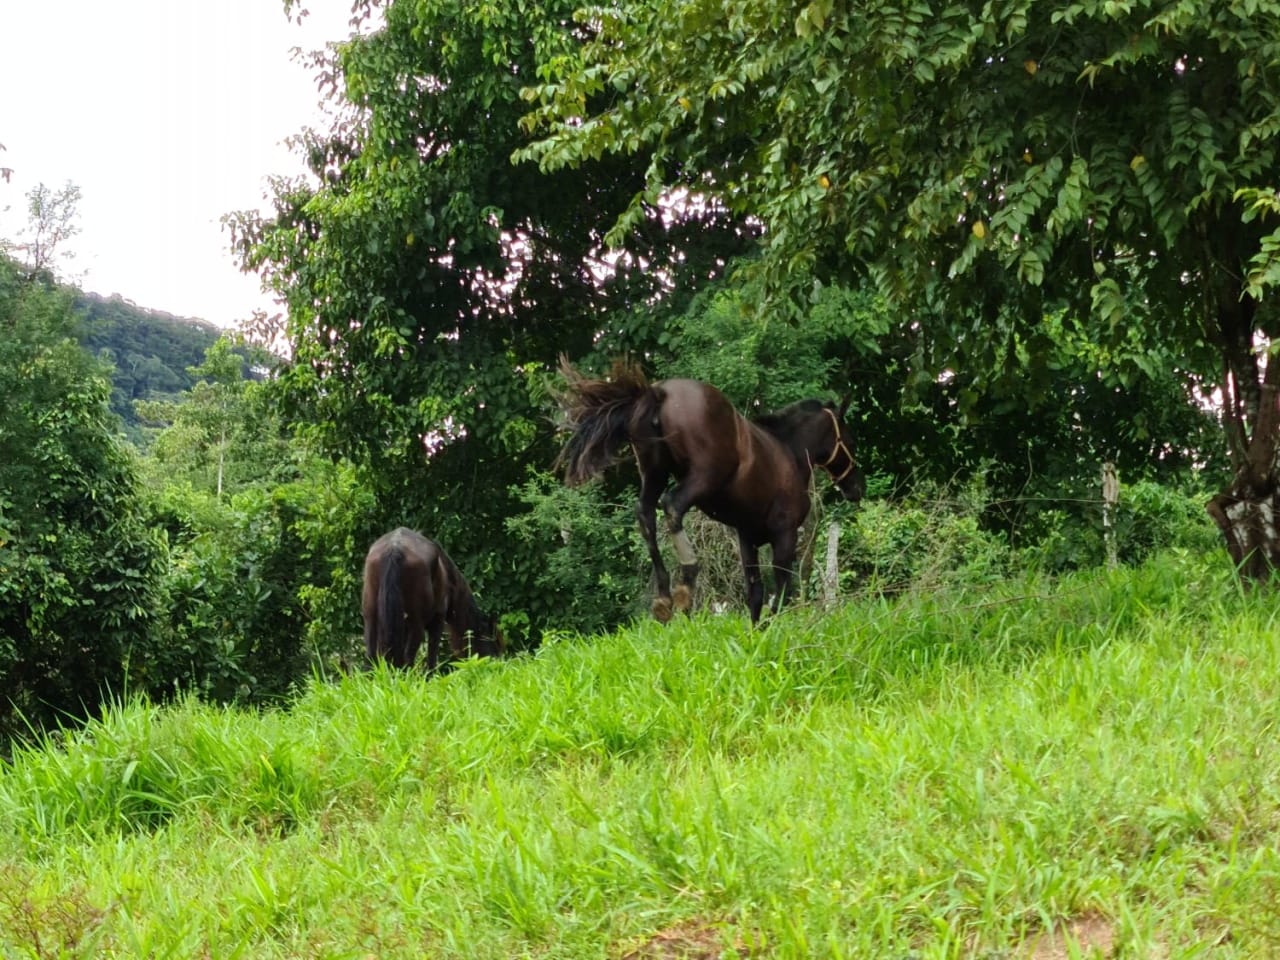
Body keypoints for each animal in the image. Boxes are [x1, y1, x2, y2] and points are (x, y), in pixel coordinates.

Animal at [360, 529, 504, 670]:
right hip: (416, 622)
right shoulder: (438, 620)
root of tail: (395, 548)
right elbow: (432, 657)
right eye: (495, 644)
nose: (498, 664)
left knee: (371, 654)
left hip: (371, 617)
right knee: (408, 655)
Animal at [555, 358, 865, 624]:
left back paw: (664, 597)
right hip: (703, 478)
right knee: (672, 505)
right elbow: (781, 593)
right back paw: (687, 579)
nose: (857, 488)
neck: (789, 452)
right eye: (850, 440)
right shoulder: (785, 534)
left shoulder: (747, 538)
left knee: (645, 515)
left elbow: (756, 594)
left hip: (655, 473)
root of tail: (658, 392)